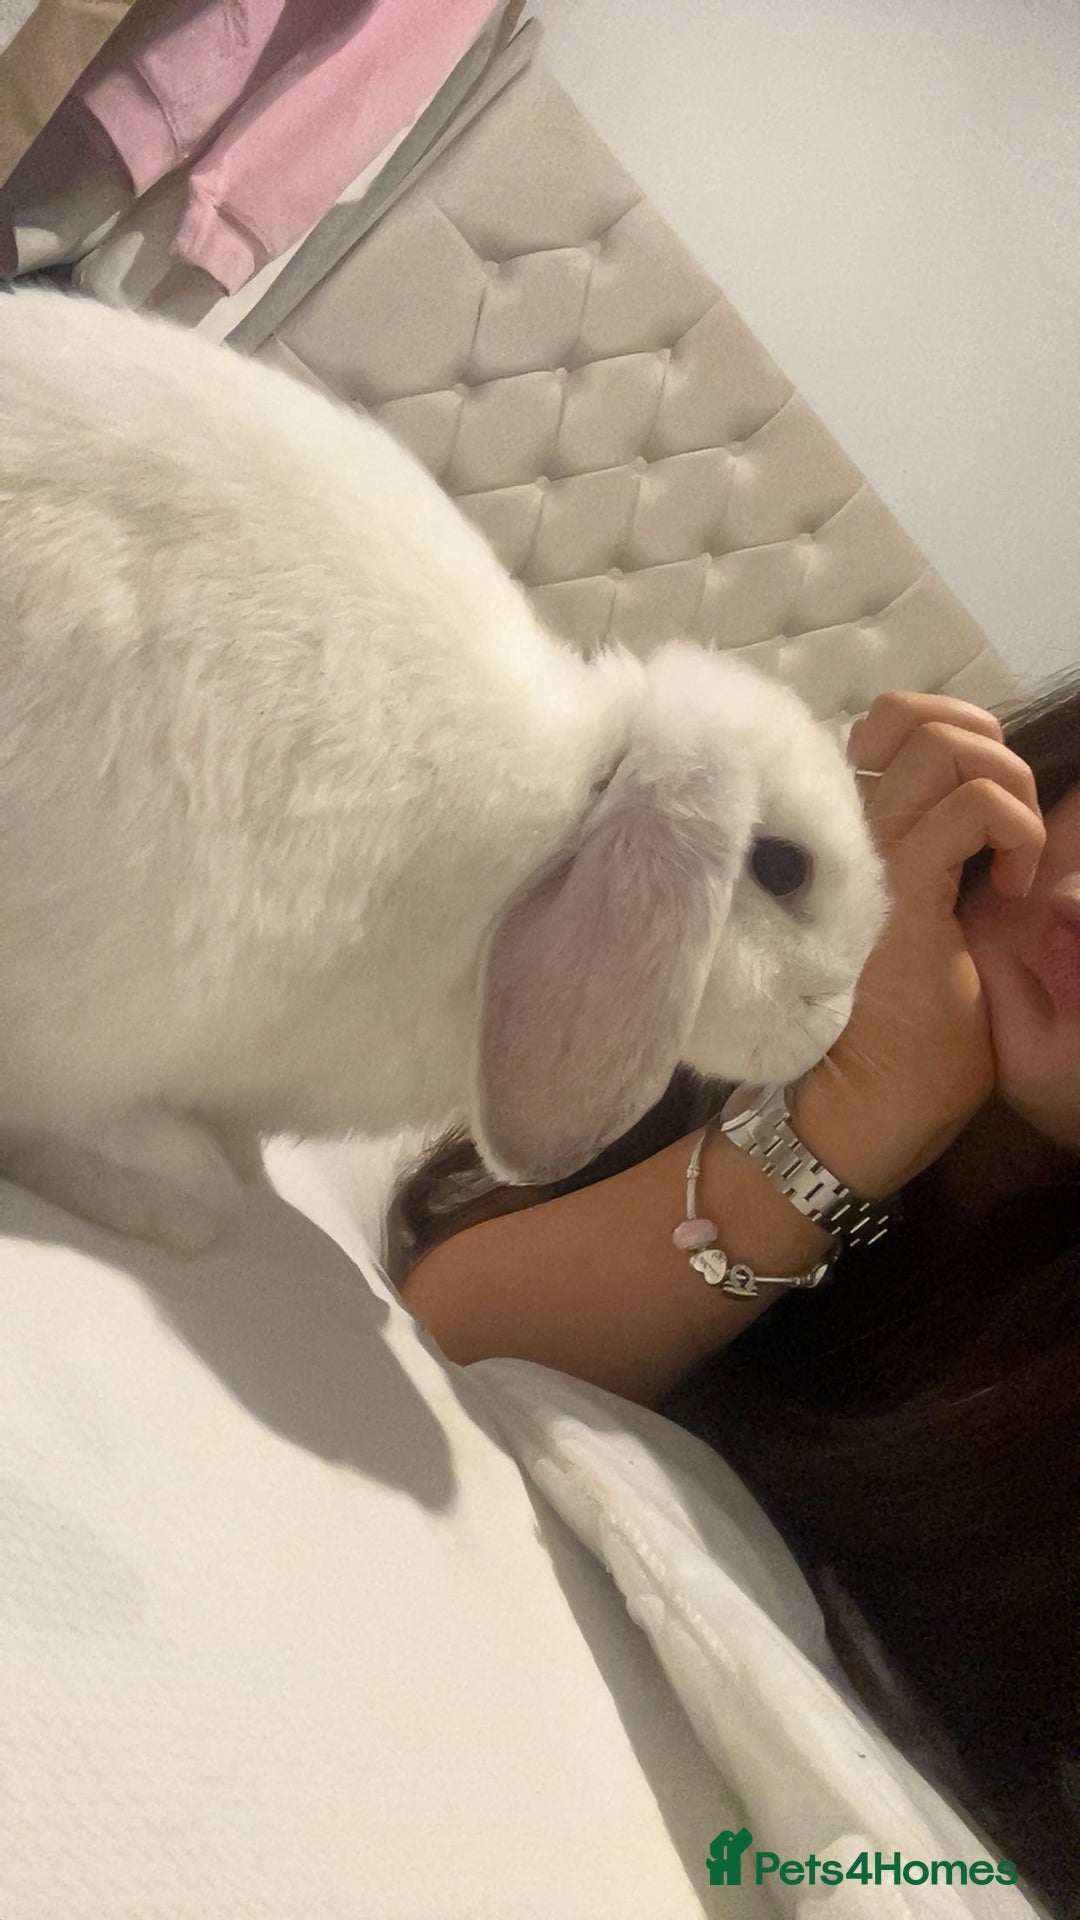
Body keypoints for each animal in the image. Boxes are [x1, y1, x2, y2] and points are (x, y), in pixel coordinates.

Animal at [0, 291, 886, 1253]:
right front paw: (172, 1188)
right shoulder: (104, 1029)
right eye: (782, 867)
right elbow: (152, 1163)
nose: (830, 1031)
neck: (558, 835)